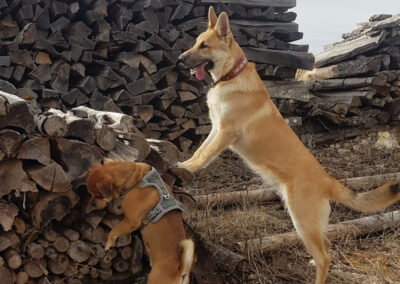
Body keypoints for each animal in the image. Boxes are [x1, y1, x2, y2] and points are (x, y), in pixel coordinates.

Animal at [178, 6, 400, 284]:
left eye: (204, 46)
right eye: (195, 43)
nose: (179, 59)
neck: (232, 75)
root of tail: (328, 181)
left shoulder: (225, 133)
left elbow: (203, 156)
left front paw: (185, 169)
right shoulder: (216, 129)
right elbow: (199, 151)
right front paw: (183, 163)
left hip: (302, 221)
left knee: (325, 257)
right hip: (310, 225)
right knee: (327, 247)